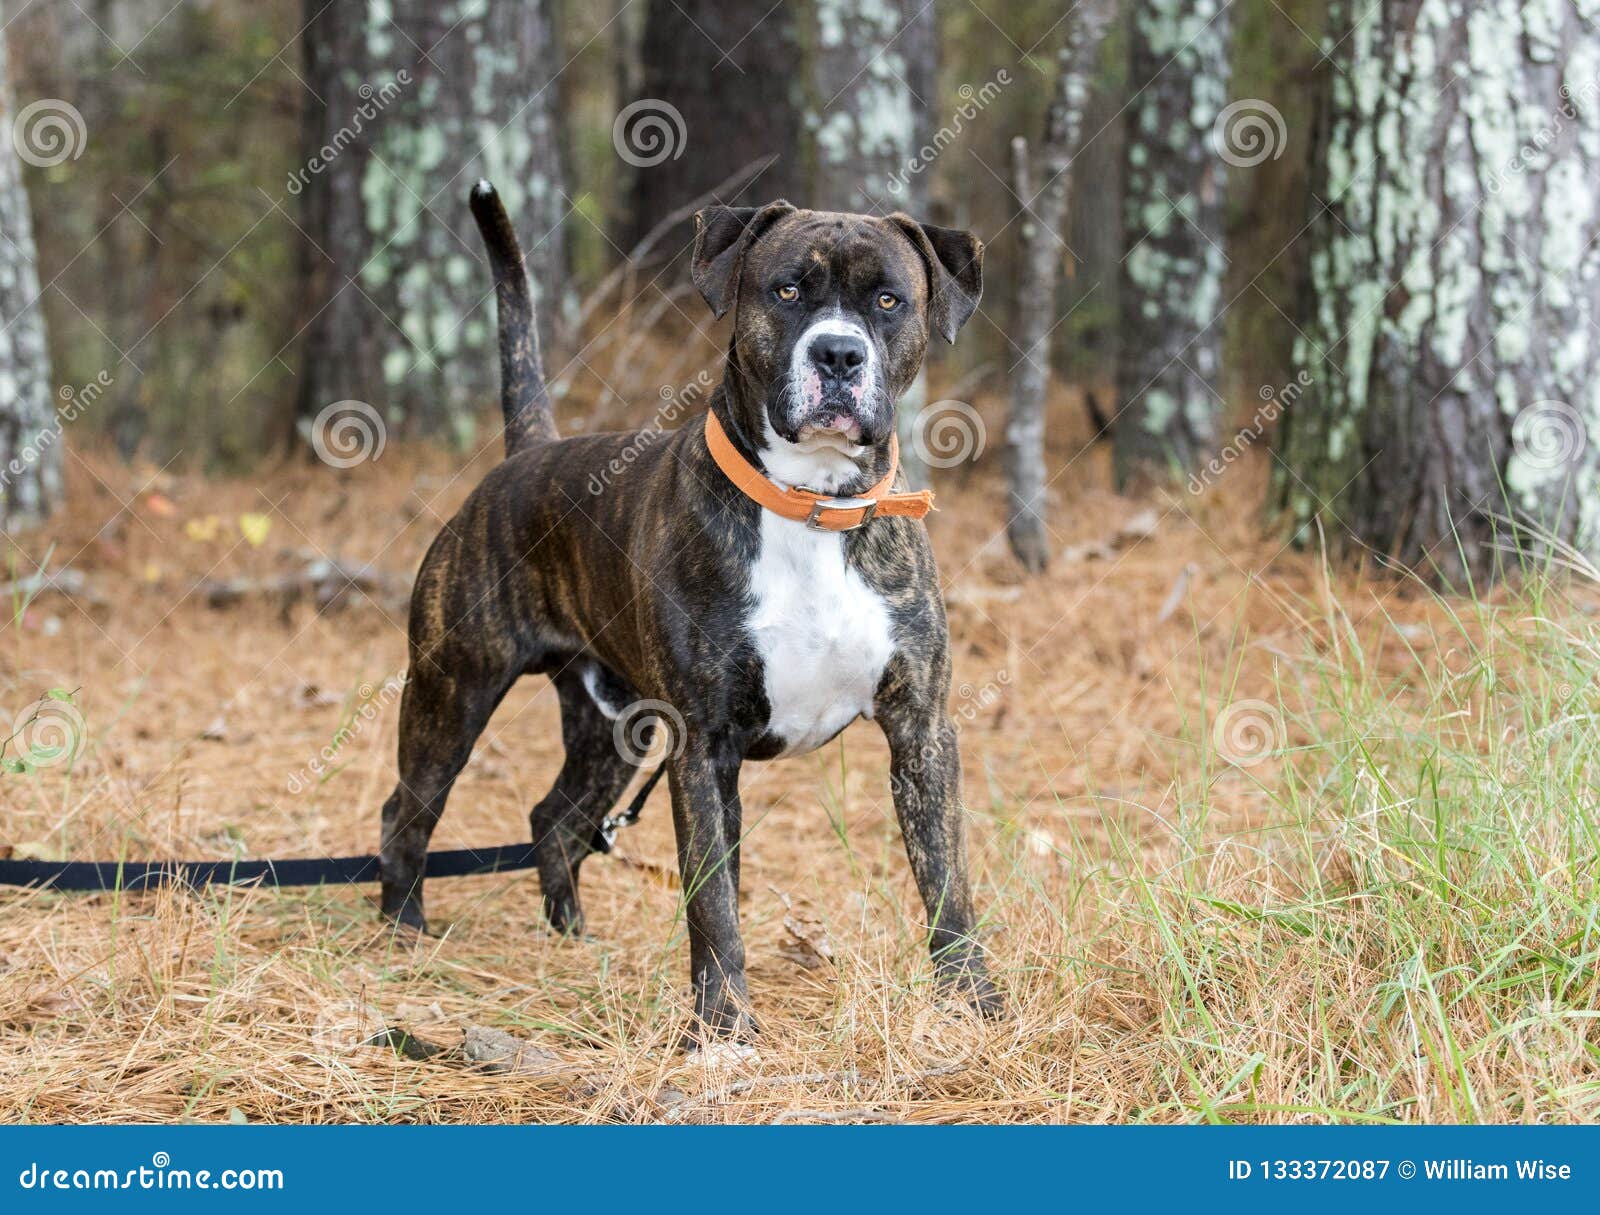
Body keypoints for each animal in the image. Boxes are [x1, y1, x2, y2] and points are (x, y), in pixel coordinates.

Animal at [377, 185, 998, 1043]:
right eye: (787, 290)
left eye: (887, 300)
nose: (839, 356)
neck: (810, 505)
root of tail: (527, 454)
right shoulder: (704, 747)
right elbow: (714, 901)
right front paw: (725, 1026)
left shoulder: (922, 731)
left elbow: (947, 881)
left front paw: (973, 1004)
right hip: (451, 694)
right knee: (407, 809)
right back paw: (402, 931)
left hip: (613, 729)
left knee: (553, 818)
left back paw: (572, 937)